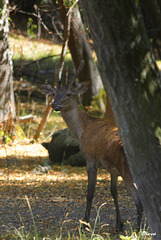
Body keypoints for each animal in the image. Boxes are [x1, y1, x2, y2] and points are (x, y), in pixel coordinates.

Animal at [37, 60, 143, 232]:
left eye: (68, 94)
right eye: (54, 93)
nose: (55, 104)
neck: (83, 130)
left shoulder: (90, 160)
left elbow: (90, 192)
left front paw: (85, 223)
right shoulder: (112, 169)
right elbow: (113, 192)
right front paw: (119, 224)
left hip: (128, 171)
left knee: (140, 201)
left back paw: (139, 230)